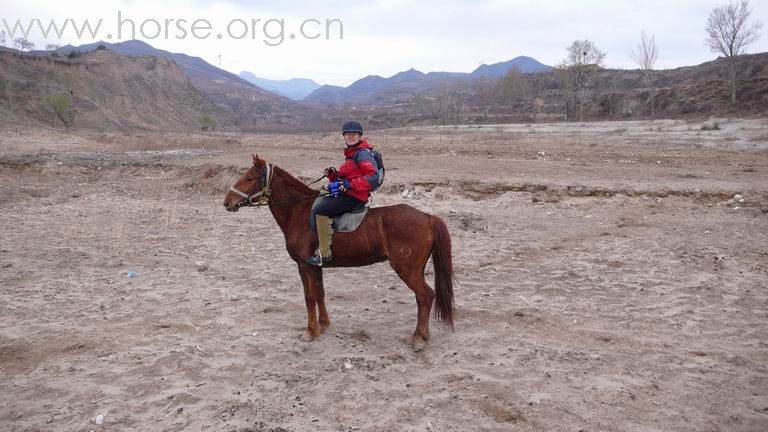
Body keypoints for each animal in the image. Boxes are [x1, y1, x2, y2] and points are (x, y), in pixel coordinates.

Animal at [222, 154, 452, 350]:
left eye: (249, 178)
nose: (227, 202)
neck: (299, 211)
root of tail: (428, 217)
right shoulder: (316, 266)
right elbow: (320, 293)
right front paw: (324, 325)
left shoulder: (304, 265)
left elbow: (309, 297)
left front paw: (311, 331)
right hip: (416, 269)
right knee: (421, 298)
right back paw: (418, 335)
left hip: (406, 269)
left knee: (425, 296)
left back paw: (420, 339)